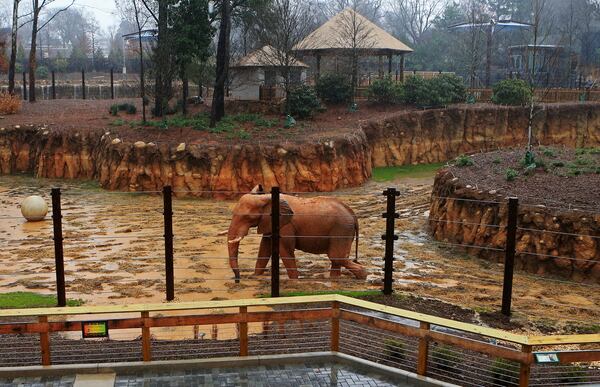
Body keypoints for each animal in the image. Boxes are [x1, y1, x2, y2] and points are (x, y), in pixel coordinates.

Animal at [224, 186, 368, 282]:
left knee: (336, 256)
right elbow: (264, 248)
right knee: (337, 259)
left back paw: (362, 276)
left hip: (341, 229)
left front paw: (294, 281)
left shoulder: (285, 226)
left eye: (247, 217)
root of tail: (353, 214)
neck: (265, 198)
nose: (237, 279)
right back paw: (334, 280)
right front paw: (255, 277)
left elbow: (285, 250)